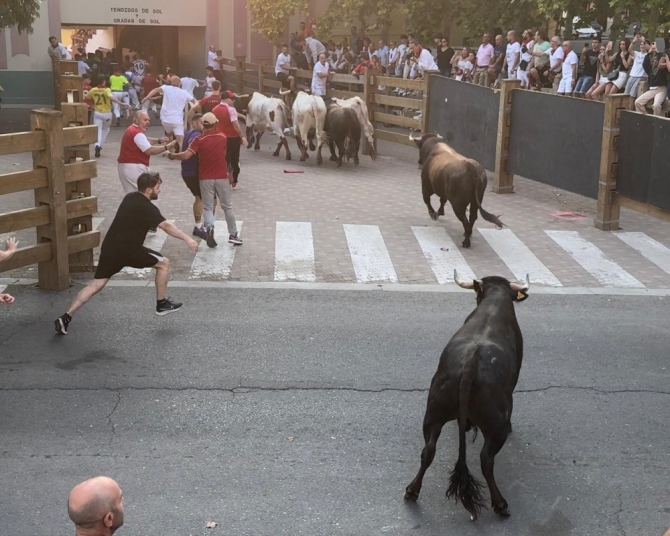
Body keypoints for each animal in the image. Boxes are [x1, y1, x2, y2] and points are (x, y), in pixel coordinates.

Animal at [404, 272, 532, 520]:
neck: (494, 303)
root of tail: (472, 362)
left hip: (433, 413)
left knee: (428, 450)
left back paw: (412, 490)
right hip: (496, 427)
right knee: (486, 459)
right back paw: (500, 503)